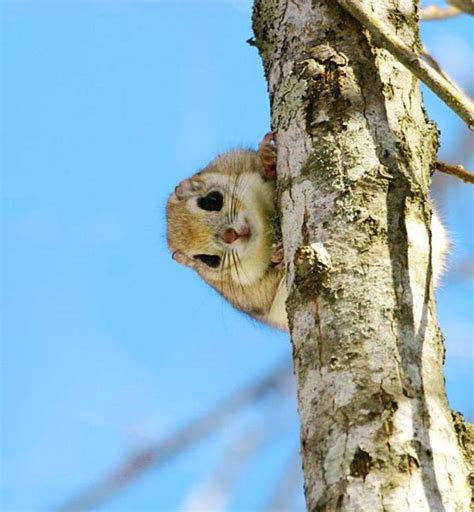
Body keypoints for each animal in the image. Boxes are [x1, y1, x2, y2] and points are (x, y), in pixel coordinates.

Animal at [167, 133, 448, 332]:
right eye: (209, 261)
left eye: (211, 200)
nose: (230, 236)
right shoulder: (249, 294)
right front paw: (279, 254)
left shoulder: (233, 160)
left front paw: (268, 159)